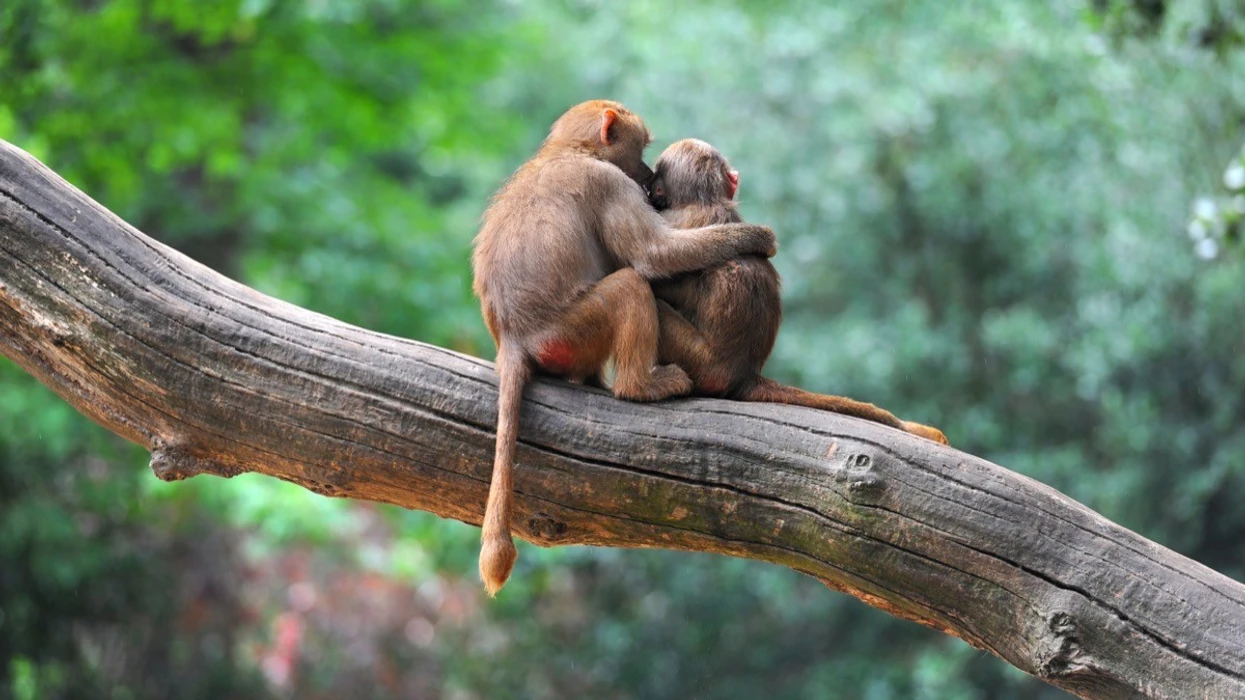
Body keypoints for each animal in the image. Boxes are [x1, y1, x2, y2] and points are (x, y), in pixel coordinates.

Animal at [468, 102, 771, 592]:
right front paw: (758, 238)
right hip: (569, 331)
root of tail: (512, 338)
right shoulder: (609, 183)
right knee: (629, 284)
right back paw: (639, 386)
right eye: (642, 149)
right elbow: (652, 257)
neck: (569, 150)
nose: (647, 179)